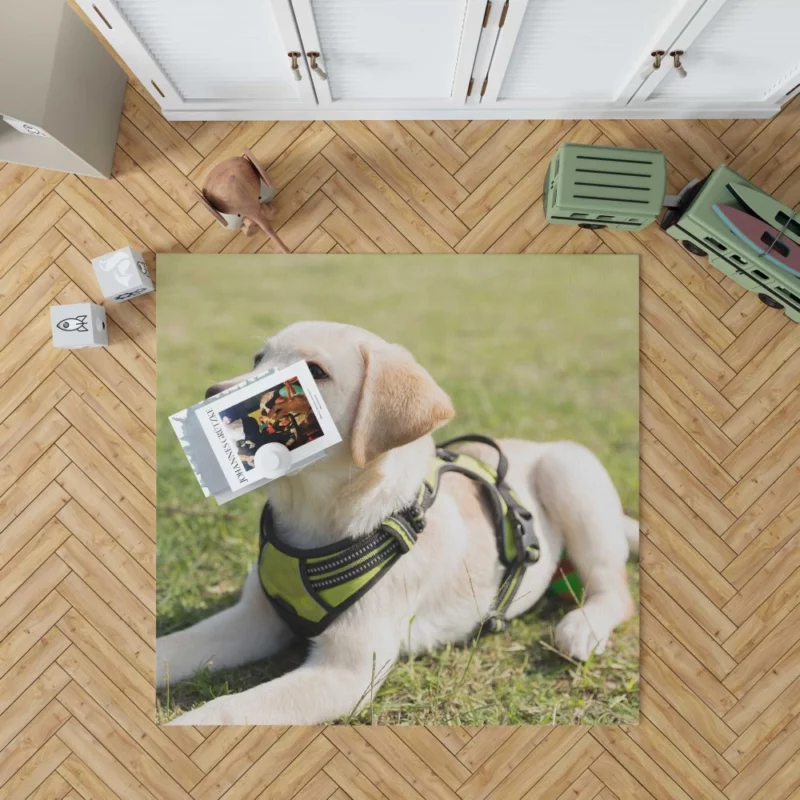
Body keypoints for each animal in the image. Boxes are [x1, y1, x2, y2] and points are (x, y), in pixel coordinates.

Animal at [159, 320, 636, 724]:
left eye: (314, 372)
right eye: (258, 359)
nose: (210, 397)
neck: (314, 517)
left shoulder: (347, 671)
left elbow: (230, 708)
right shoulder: (255, 619)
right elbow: (174, 645)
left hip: (569, 472)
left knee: (614, 586)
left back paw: (582, 627)